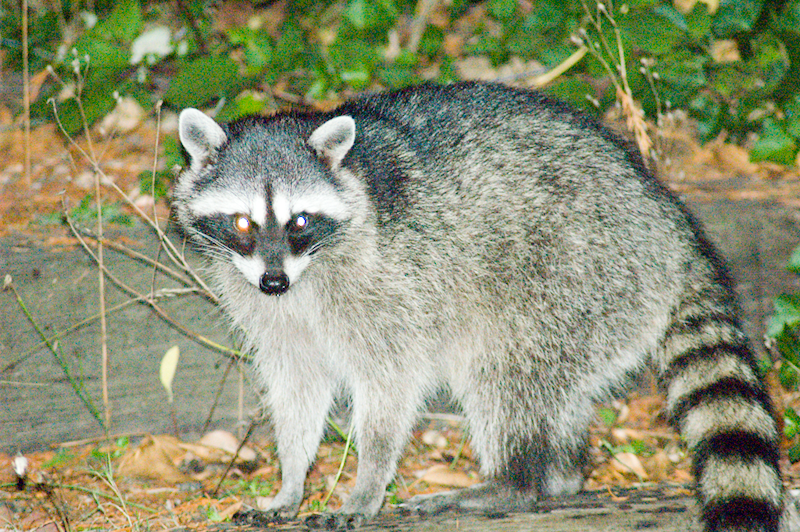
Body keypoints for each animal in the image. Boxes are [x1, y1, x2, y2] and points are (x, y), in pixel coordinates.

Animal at [173, 81, 782, 531]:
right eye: (243, 223)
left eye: (299, 220)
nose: (273, 281)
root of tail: (667, 220)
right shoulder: (271, 308)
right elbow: (297, 387)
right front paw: (292, 479)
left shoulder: (389, 287)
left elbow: (391, 386)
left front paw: (367, 482)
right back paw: (560, 473)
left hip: (574, 274)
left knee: (504, 375)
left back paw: (514, 483)